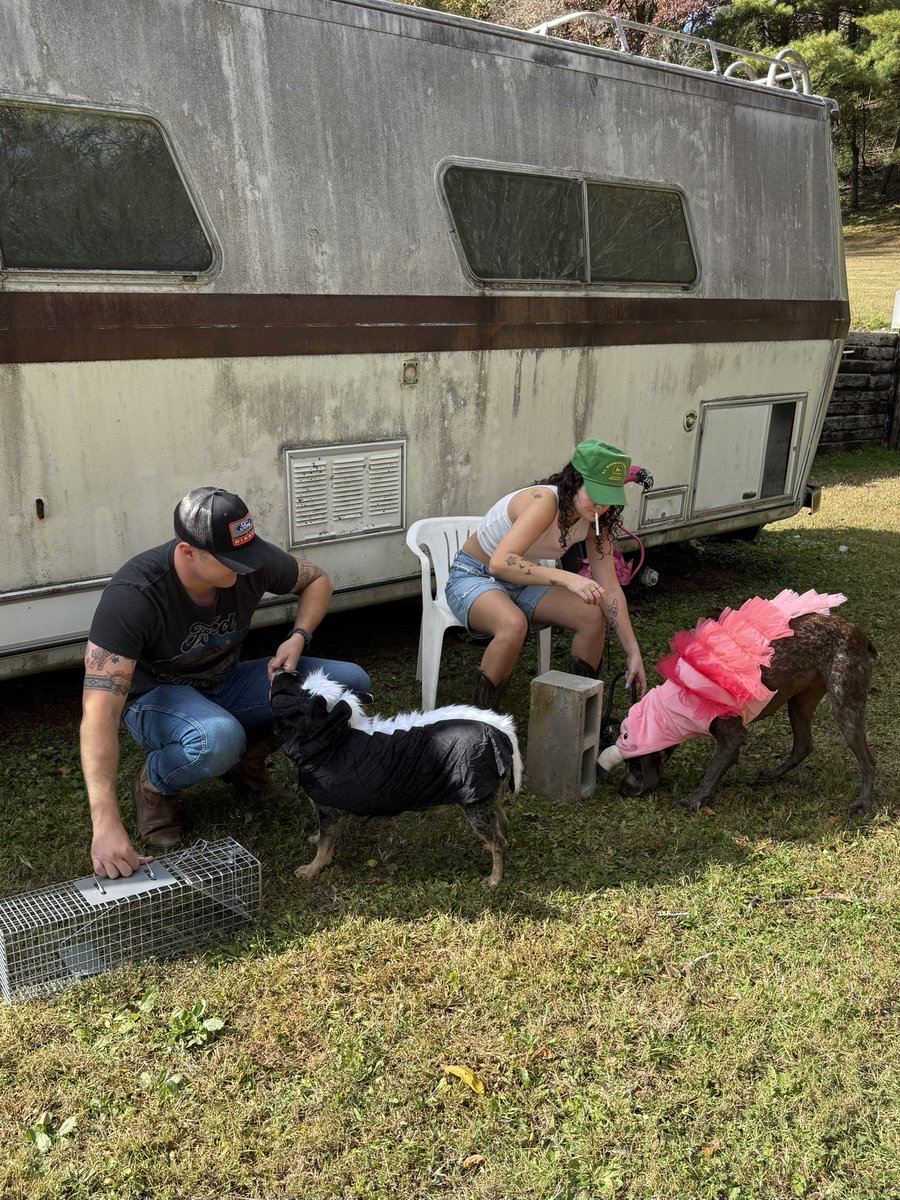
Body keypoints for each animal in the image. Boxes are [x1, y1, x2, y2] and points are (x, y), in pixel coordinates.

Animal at [270, 668, 522, 886]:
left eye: (296, 691)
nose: (281, 668)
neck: (333, 740)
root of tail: (501, 732)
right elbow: (323, 837)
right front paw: (315, 840)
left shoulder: (327, 809)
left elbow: (324, 847)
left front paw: (312, 869)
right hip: (487, 799)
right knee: (503, 826)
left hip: (475, 805)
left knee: (499, 842)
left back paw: (494, 879)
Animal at [598, 590, 876, 815]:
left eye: (633, 764)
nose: (622, 791)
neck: (681, 698)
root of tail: (860, 633)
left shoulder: (732, 737)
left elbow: (710, 775)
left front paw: (691, 802)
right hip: (799, 702)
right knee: (803, 746)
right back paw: (773, 775)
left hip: (845, 705)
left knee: (869, 762)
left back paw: (863, 804)